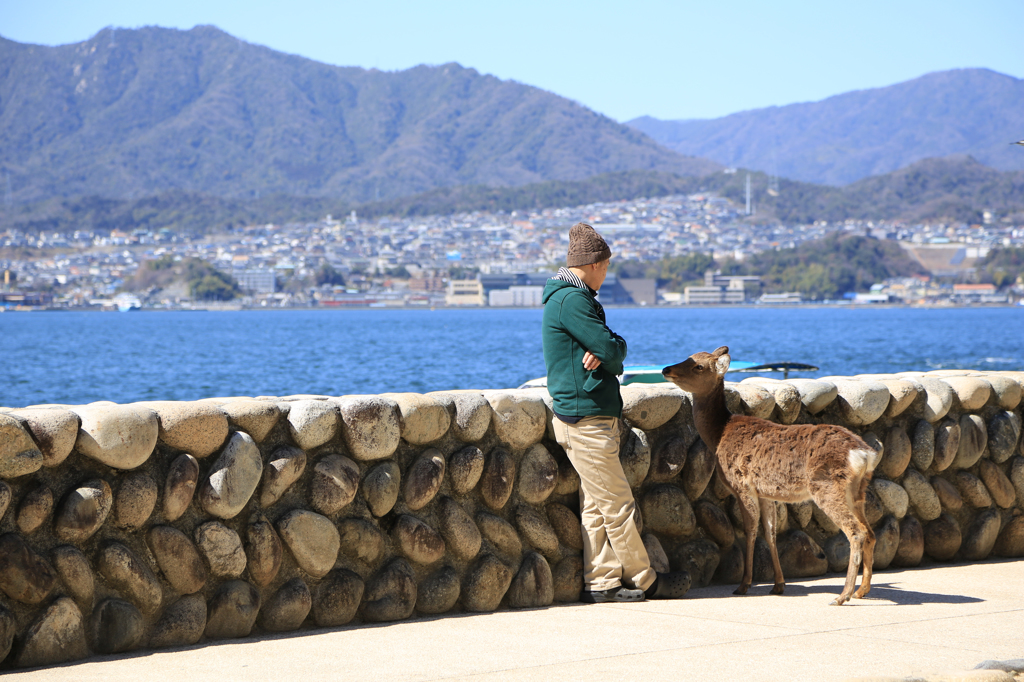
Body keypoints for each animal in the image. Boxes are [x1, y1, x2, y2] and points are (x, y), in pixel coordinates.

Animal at [663, 348, 880, 602]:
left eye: (698, 366)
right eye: (690, 356)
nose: (666, 369)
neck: (718, 435)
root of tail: (863, 453)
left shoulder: (742, 485)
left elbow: (750, 531)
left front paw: (744, 585)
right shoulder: (766, 493)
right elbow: (770, 533)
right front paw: (778, 585)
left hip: (826, 486)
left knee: (855, 532)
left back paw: (843, 595)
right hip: (857, 491)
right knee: (870, 532)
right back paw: (861, 591)